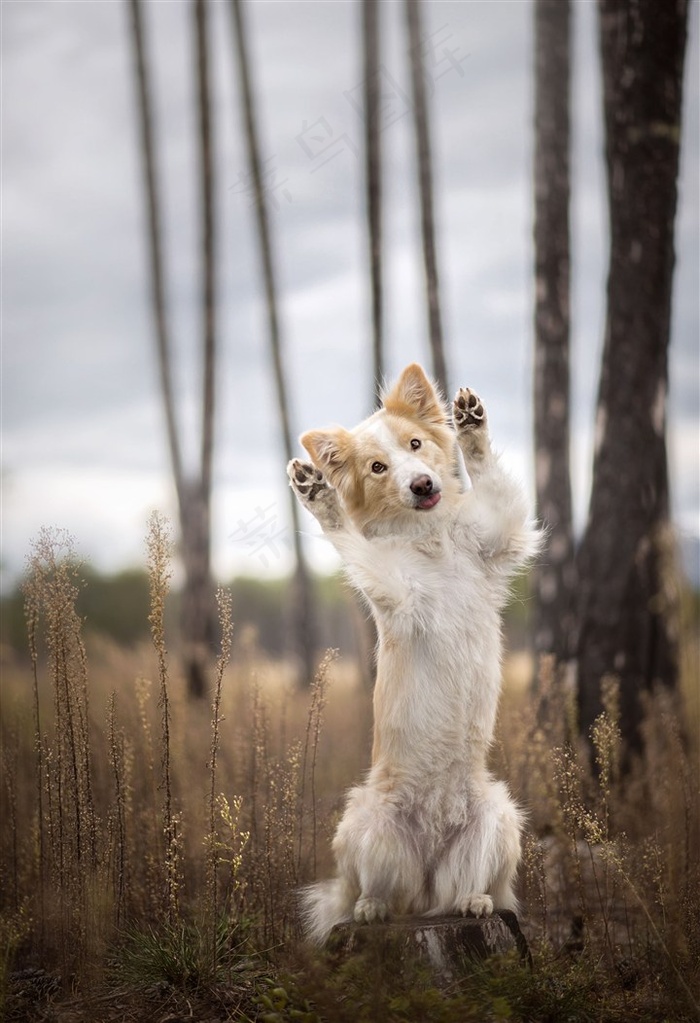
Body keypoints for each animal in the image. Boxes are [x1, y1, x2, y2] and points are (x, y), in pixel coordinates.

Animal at [286, 366, 540, 941]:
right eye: (378, 467)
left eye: (416, 445)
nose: (421, 484)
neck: (431, 540)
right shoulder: (397, 590)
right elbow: (350, 539)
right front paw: (319, 495)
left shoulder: (500, 537)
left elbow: (489, 476)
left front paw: (471, 423)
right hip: (364, 822)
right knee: (378, 891)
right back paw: (371, 908)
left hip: (498, 817)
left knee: (466, 887)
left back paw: (473, 901)